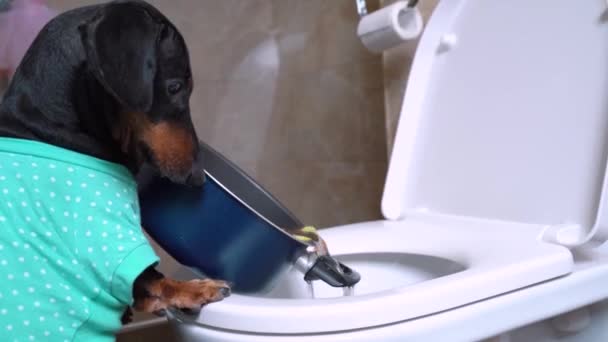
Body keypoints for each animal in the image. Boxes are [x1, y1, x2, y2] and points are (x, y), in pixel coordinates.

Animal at [0, 1, 230, 340]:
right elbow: (153, 280)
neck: (50, 126)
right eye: (175, 87)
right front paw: (196, 288)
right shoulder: (108, 235)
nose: (197, 178)